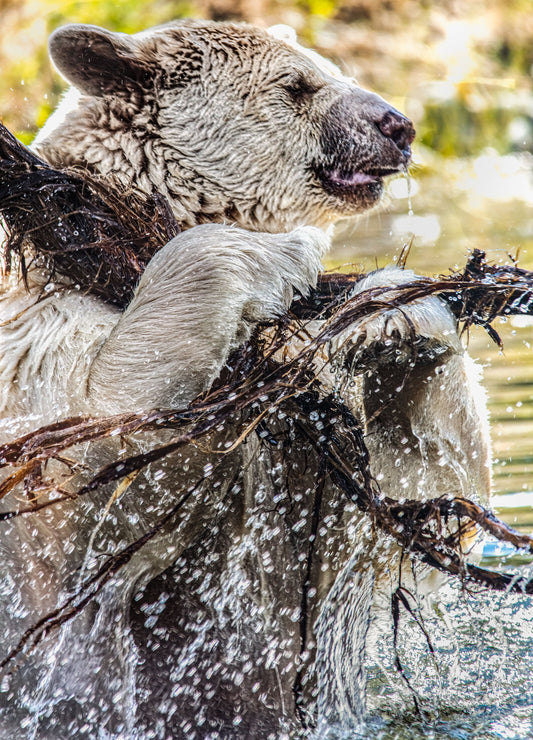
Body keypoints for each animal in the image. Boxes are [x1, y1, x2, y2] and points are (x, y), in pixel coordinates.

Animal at [0, 19, 491, 739]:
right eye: (298, 84)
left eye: (330, 65)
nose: (396, 125)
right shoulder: (36, 331)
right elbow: (96, 442)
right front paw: (289, 251)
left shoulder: (302, 454)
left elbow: (417, 476)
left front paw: (387, 316)